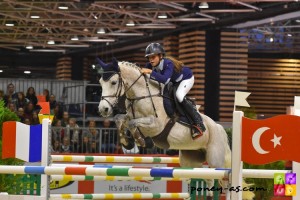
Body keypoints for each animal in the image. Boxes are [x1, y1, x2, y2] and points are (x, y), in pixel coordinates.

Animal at [97, 58, 254, 200]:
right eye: (100, 83)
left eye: (113, 82)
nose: (103, 109)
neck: (142, 95)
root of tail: (218, 127)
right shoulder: (129, 116)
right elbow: (121, 119)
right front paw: (127, 142)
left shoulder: (156, 126)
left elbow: (132, 123)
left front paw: (142, 141)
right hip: (190, 161)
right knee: (207, 180)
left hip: (216, 162)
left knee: (225, 183)